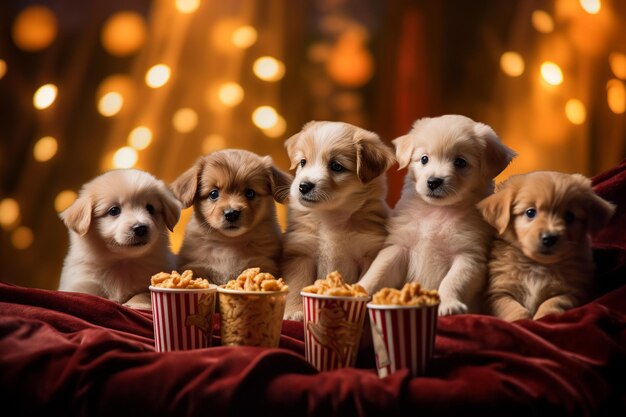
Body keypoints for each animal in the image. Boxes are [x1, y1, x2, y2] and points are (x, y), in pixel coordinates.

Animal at [58, 167, 182, 308]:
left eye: (150, 208)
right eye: (114, 210)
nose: (140, 228)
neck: (122, 261)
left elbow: (143, 295)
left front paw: (134, 304)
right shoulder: (82, 282)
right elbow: (87, 294)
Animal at [168, 148, 290, 284]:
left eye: (250, 193)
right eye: (213, 194)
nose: (231, 214)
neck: (229, 244)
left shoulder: (263, 264)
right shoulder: (196, 266)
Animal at [280, 120, 392, 318]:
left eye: (336, 166)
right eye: (303, 162)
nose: (303, 186)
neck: (331, 215)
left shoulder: (367, 252)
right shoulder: (301, 252)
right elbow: (296, 285)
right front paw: (294, 312)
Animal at [358, 114, 516, 316]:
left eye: (460, 162)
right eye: (424, 159)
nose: (433, 182)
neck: (437, 211)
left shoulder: (469, 256)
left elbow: (451, 282)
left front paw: (449, 304)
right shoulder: (398, 246)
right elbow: (378, 271)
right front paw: (357, 289)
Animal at [478, 171, 616, 320]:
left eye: (569, 217)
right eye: (530, 212)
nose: (549, 238)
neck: (537, 265)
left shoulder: (575, 292)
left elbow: (554, 302)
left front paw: (543, 317)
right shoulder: (498, 292)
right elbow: (512, 308)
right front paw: (521, 320)